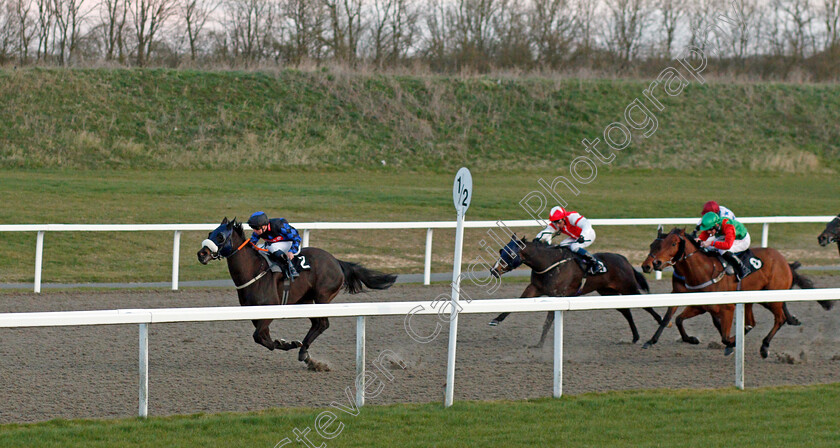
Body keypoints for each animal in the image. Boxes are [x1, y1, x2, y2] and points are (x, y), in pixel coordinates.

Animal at [197, 218, 398, 372]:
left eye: (220, 236)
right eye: (210, 233)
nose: (201, 254)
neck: (254, 270)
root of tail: (336, 261)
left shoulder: (270, 310)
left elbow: (259, 337)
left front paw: (290, 343)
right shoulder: (255, 314)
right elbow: (264, 339)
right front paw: (287, 343)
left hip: (322, 297)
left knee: (323, 323)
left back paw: (304, 352)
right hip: (306, 300)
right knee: (317, 324)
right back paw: (305, 354)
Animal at [486, 238, 664, 346]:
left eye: (510, 253)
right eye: (501, 251)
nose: (494, 270)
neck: (548, 264)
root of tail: (623, 258)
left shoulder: (557, 296)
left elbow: (548, 322)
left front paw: (540, 344)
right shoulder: (534, 288)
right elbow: (517, 303)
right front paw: (496, 320)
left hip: (628, 287)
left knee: (646, 305)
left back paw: (661, 322)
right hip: (607, 292)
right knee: (626, 311)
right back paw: (635, 336)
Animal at [640, 229, 816, 358]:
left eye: (673, 243)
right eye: (652, 245)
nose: (651, 264)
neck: (704, 270)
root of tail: (784, 260)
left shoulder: (727, 308)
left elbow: (724, 336)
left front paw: (731, 344)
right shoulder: (698, 304)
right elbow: (676, 319)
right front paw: (689, 339)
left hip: (772, 298)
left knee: (780, 319)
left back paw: (764, 347)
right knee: (754, 322)